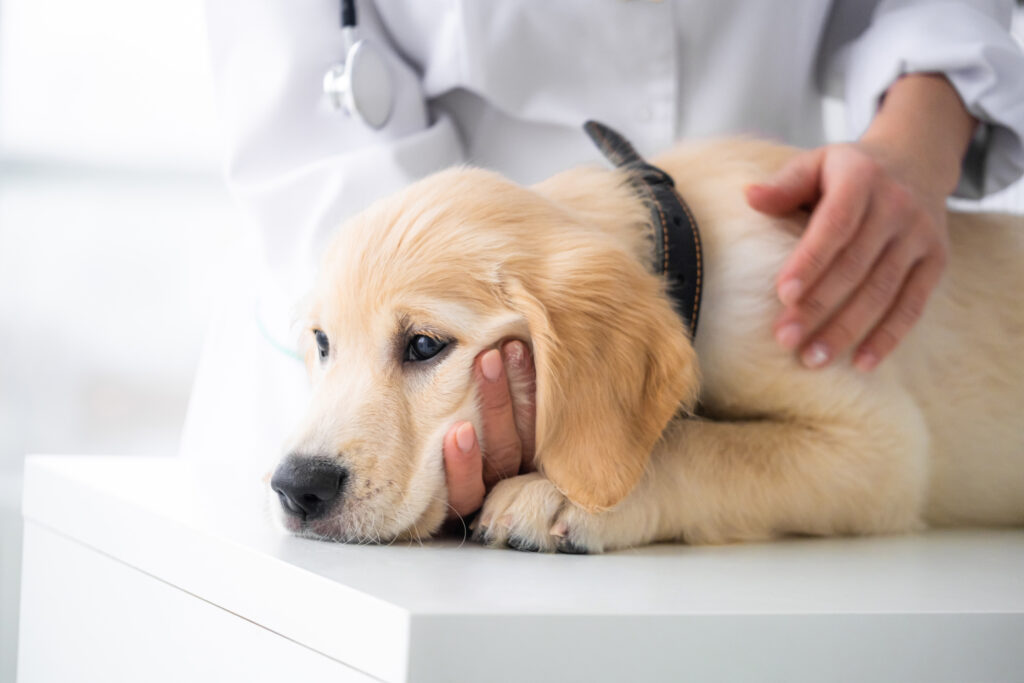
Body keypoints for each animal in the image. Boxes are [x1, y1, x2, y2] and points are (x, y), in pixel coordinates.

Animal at [266, 135, 1024, 557]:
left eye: (424, 345)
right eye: (324, 343)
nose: (295, 488)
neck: (693, 247)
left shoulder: (883, 446)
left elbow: (703, 444)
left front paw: (557, 496)